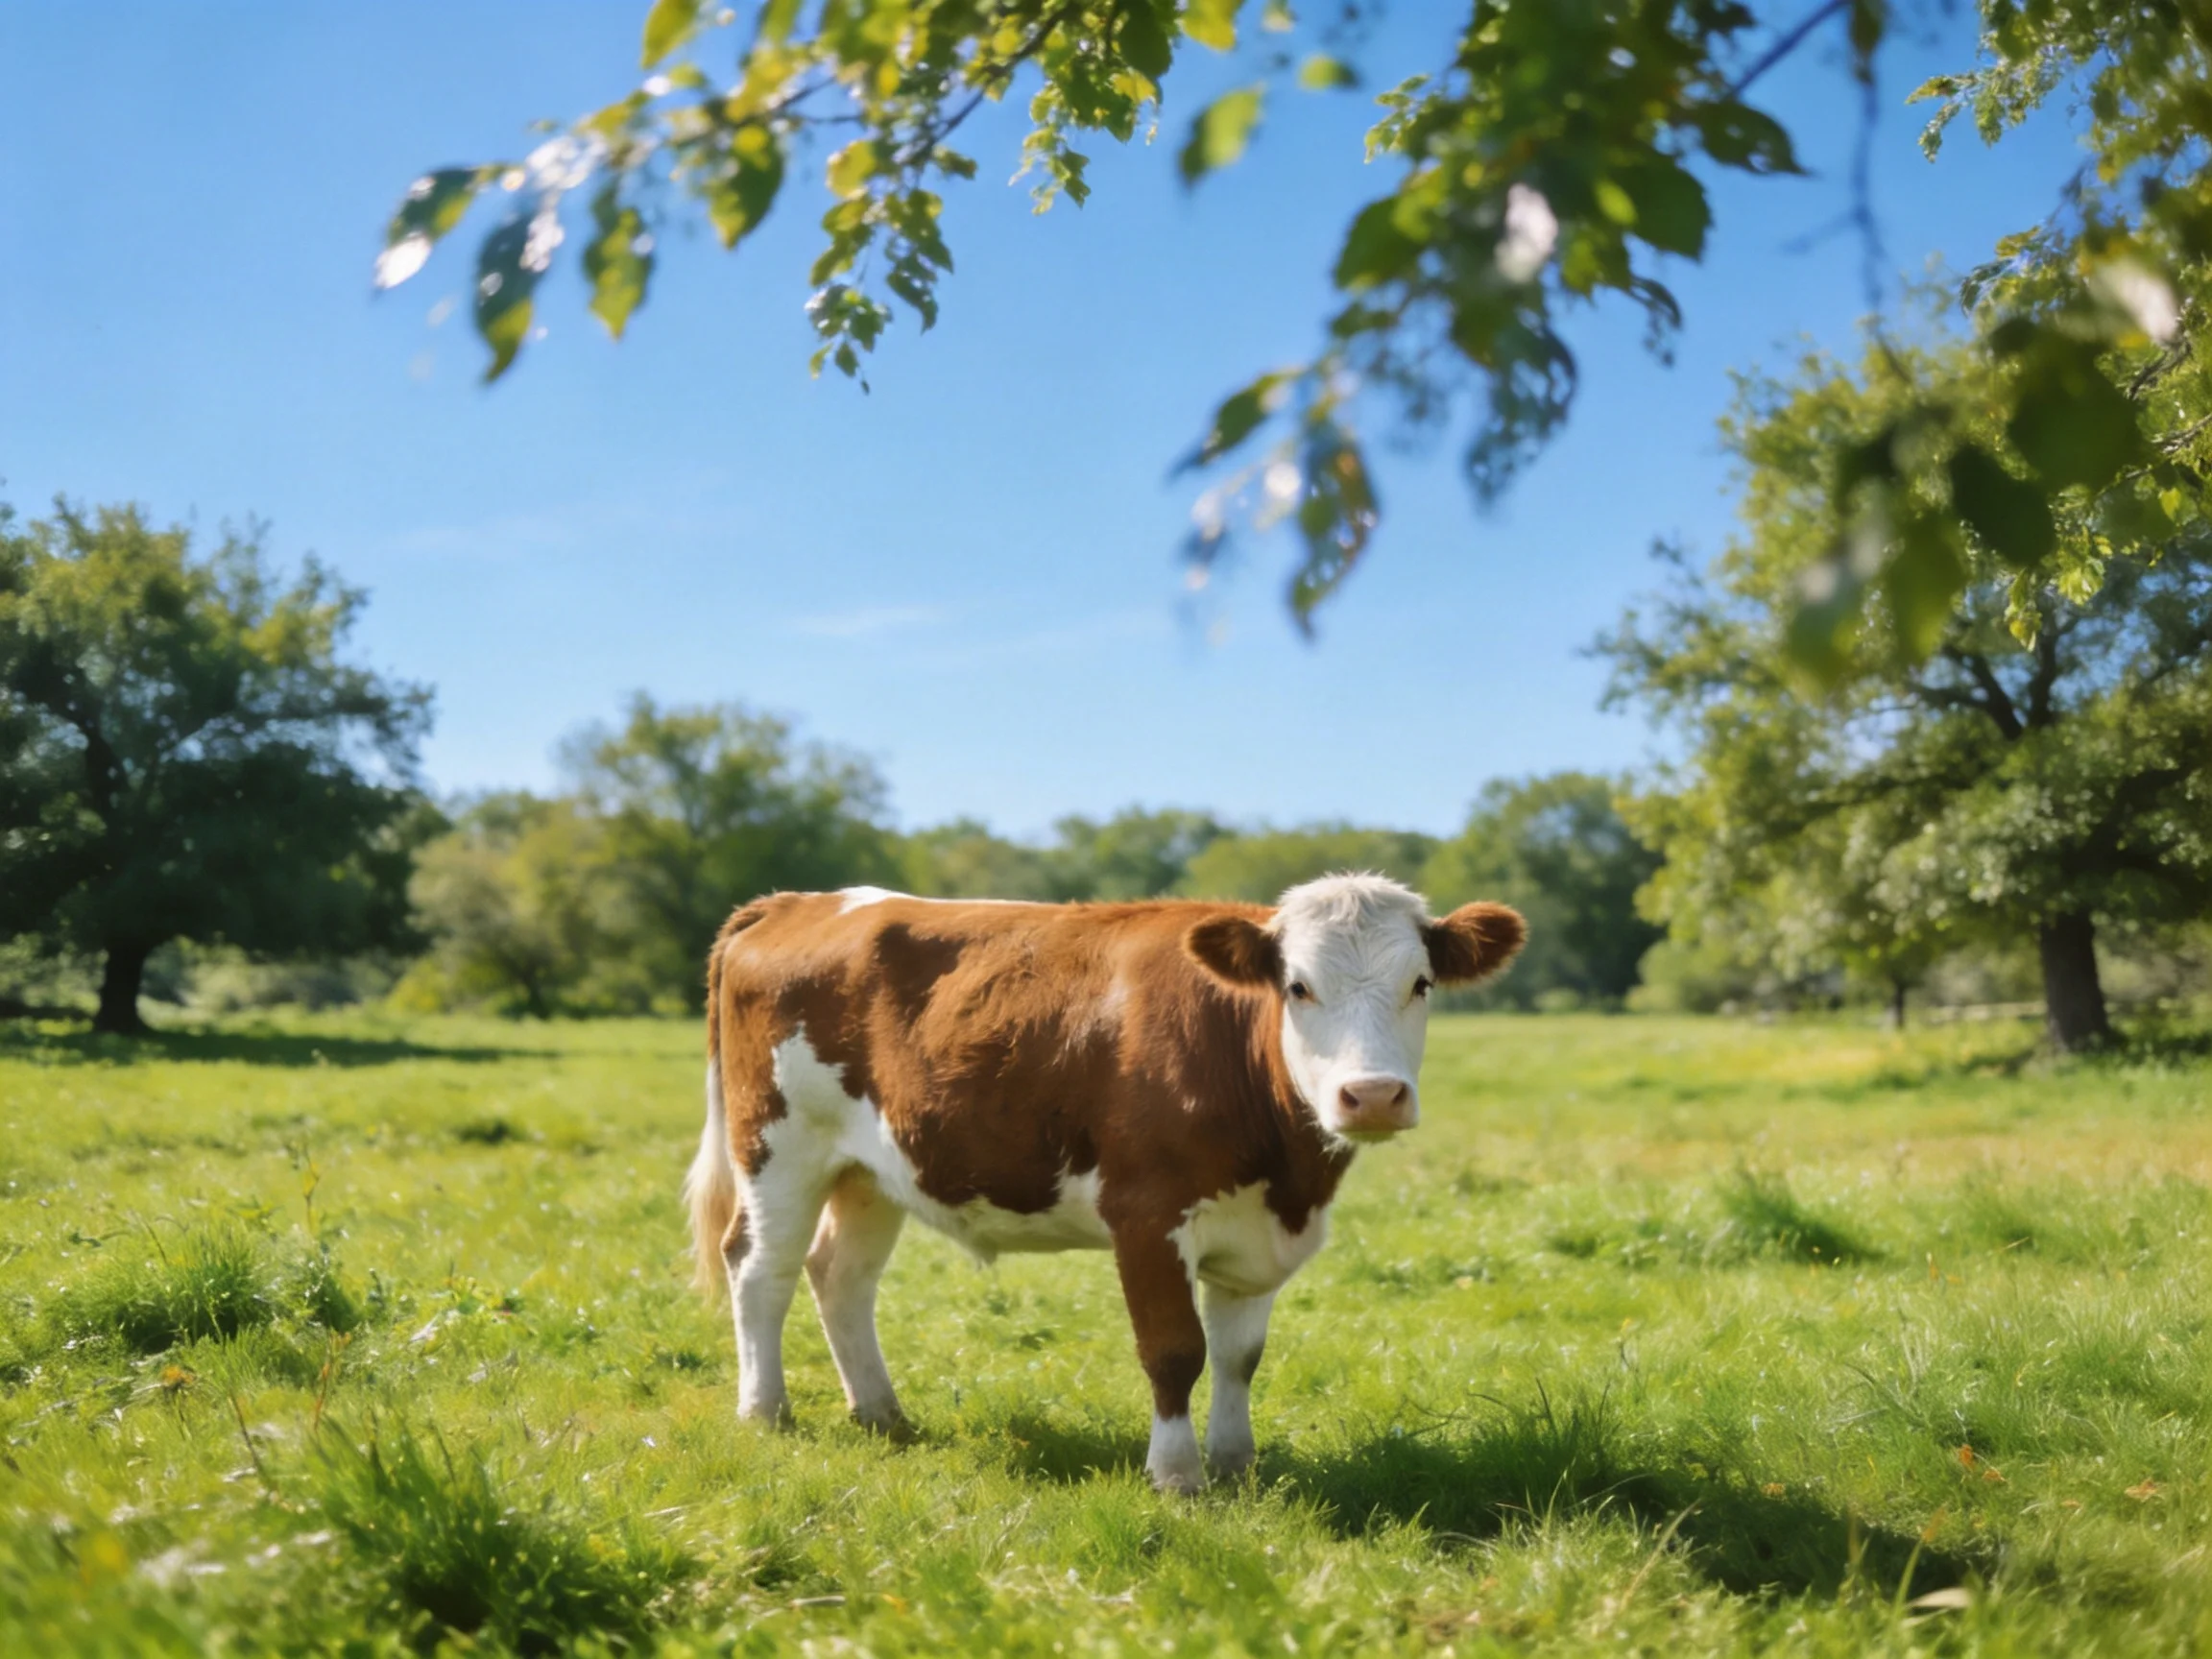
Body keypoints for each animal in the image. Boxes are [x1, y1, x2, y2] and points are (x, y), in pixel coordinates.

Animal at [683, 873, 1525, 1491]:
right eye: (1298, 987)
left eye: (1421, 984)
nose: (1373, 1095)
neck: (1288, 1173)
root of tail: (795, 901)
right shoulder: (1146, 1216)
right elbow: (1175, 1350)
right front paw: (1178, 1479)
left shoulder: (1255, 1233)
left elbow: (1239, 1356)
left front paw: (1236, 1467)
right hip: (779, 1147)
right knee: (760, 1269)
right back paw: (766, 1411)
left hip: (870, 1169)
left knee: (840, 1274)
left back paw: (882, 1413)